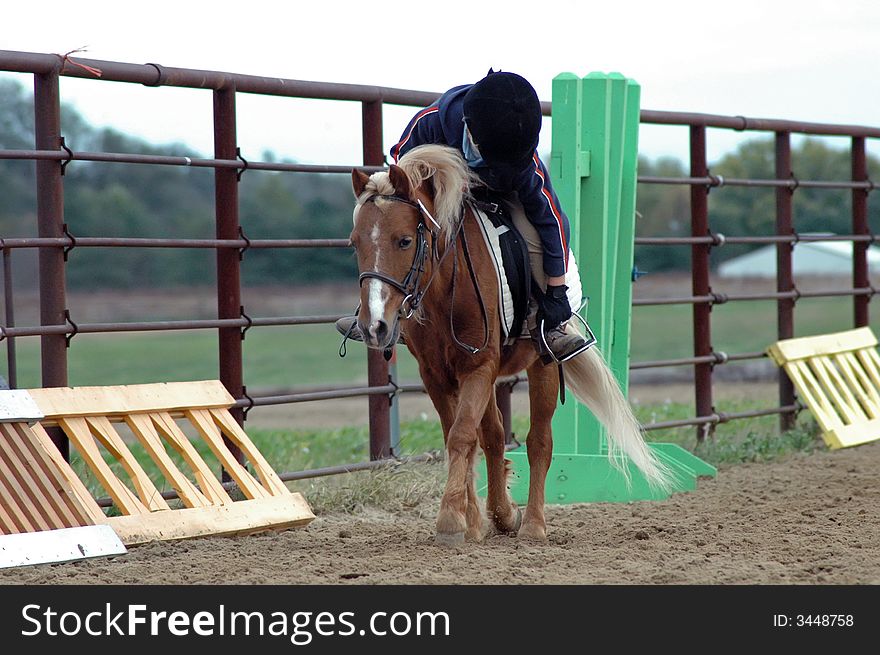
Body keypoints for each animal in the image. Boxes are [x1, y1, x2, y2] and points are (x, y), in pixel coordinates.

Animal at [348, 146, 672, 544]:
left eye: (404, 240)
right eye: (355, 242)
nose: (374, 325)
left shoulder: (479, 367)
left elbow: (462, 436)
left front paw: (451, 521)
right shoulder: (438, 376)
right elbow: (463, 436)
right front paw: (471, 520)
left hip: (541, 367)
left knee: (539, 442)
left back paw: (533, 524)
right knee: (493, 435)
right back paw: (500, 515)